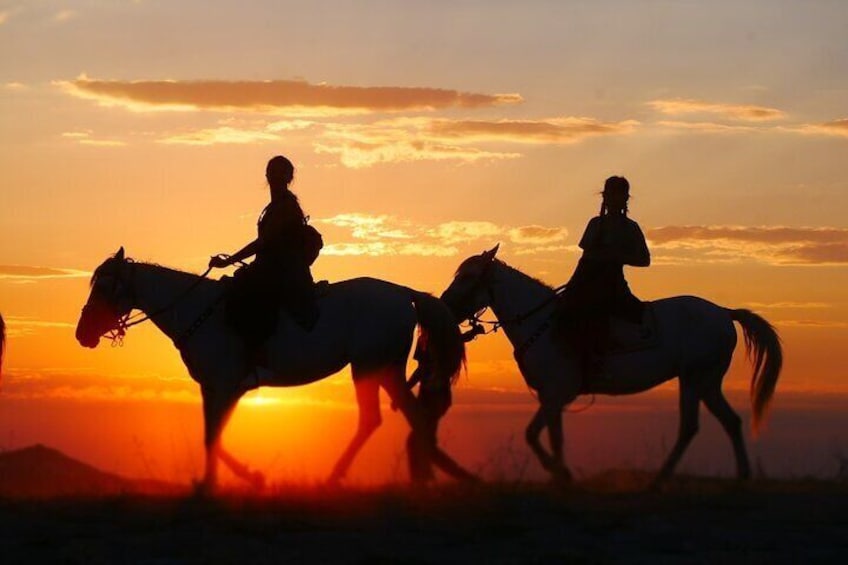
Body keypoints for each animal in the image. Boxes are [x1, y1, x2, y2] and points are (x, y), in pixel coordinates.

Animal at [76, 247, 474, 490]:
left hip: (370, 368)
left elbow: (213, 435)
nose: (82, 334)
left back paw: (340, 479)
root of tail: (405, 294)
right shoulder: (215, 387)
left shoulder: (227, 385)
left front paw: (235, 481)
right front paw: (223, 481)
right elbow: (211, 434)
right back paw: (427, 479)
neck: (199, 311)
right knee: (408, 416)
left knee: (378, 419)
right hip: (384, 369)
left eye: (105, 288)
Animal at [440, 246, 784, 484]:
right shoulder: (553, 398)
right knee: (730, 422)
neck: (542, 323)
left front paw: (561, 474)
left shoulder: (556, 395)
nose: (445, 306)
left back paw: (659, 481)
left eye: (468, 277)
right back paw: (741, 476)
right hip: (707, 381)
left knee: (690, 426)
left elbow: (541, 436)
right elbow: (544, 435)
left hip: (694, 379)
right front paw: (560, 474)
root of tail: (724, 313)